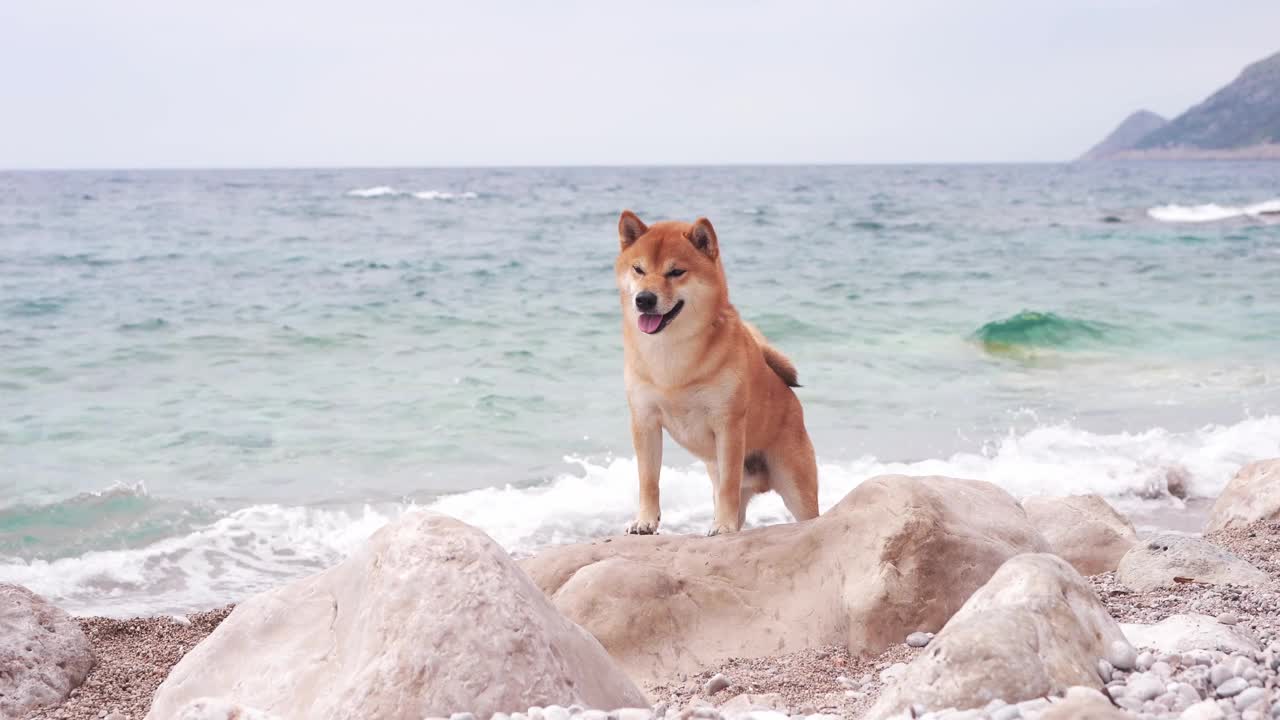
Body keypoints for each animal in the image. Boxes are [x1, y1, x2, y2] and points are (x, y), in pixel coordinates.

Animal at [616, 207, 819, 532]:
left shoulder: (728, 424)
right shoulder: (645, 421)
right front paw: (645, 521)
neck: (672, 354)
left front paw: (722, 526)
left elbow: (728, 486)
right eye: (638, 269)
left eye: (676, 272)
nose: (644, 299)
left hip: (796, 487)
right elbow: (648, 480)